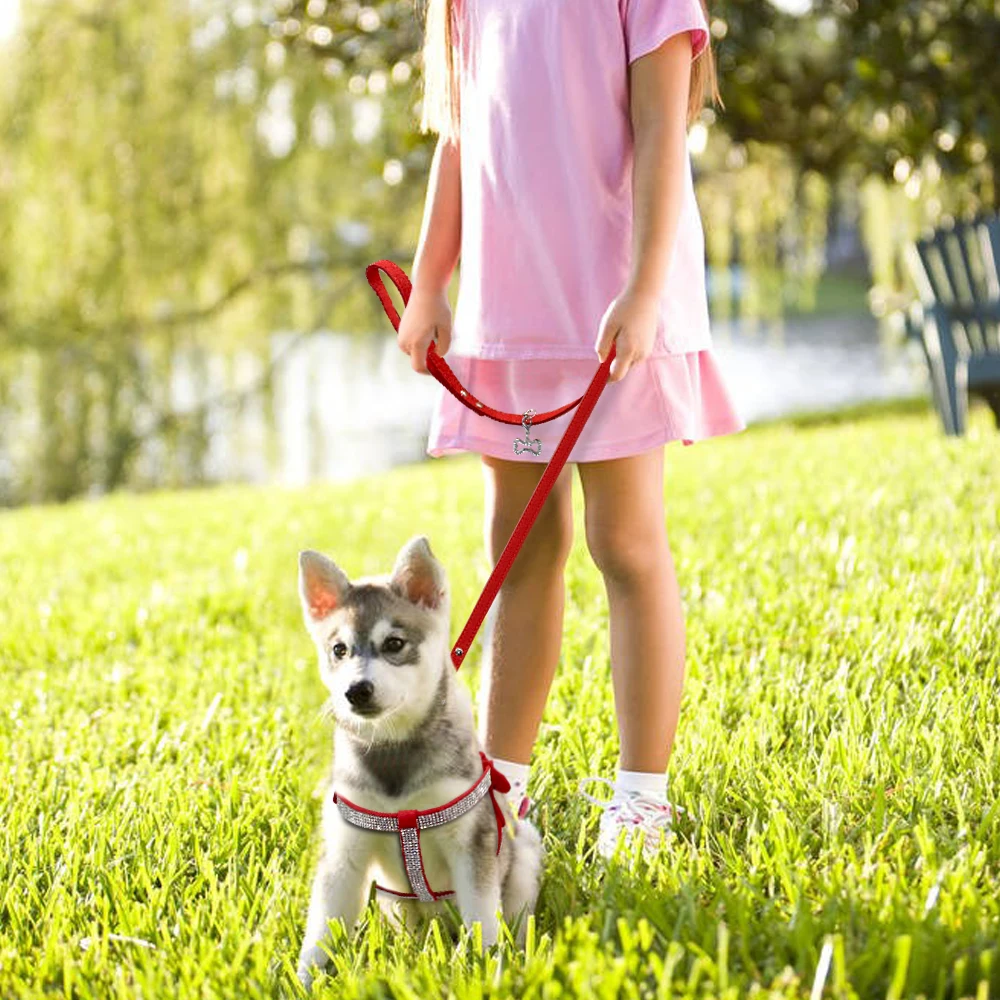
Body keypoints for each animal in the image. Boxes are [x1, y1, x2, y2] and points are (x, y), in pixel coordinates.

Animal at [294, 536, 544, 988]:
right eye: (339, 649)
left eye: (394, 643)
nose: (356, 691)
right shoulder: (344, 851)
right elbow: (322, 925)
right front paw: (302, 980)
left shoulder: (471, 844)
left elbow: (482, 916)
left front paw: (487, 967)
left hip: (525, 855)